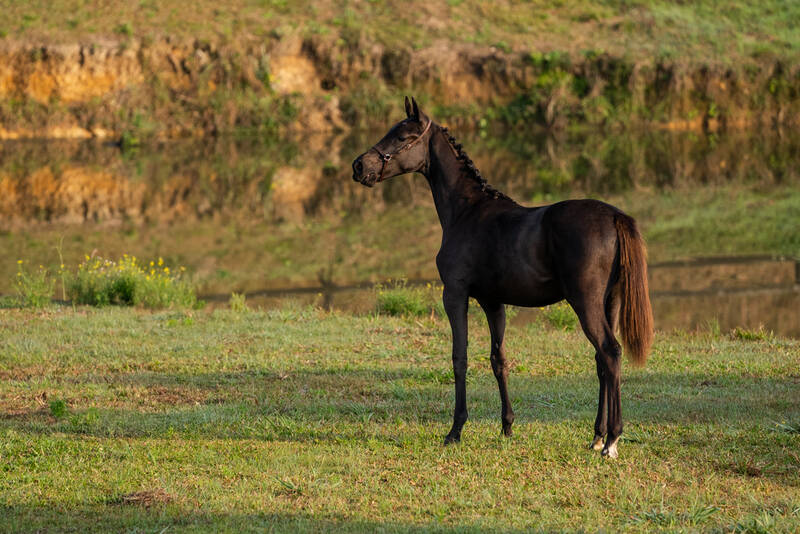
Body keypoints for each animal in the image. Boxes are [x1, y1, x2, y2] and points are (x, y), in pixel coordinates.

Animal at [354, 98, 652, 458]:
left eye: (402, 136)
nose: (359, 166)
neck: (468, 211)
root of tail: (614, 216)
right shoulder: (493, 303)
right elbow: (499, 360)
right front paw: (507, 426)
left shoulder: (454, 295)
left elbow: (460, 357)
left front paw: (455, 430)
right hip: (610, 302)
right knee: (603, 362)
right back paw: (597, 436)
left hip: (586, 302)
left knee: (610, 352)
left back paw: (611, 441)